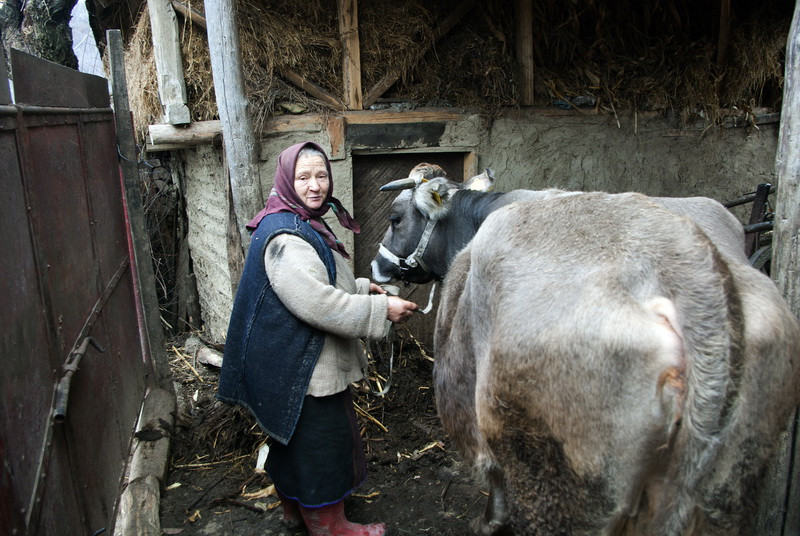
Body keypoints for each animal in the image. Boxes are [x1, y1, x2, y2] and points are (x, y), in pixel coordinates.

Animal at [372, 165, 796, 532]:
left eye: (395, 218)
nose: (376, 268)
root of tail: (686, 264)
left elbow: (492, 474)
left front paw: (488, 521)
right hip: (728, 487)